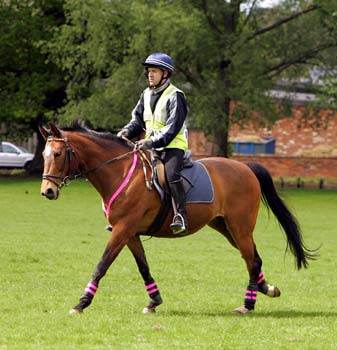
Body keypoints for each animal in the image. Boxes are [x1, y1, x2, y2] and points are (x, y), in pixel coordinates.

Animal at [39, 122, 316, 314]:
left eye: (58, 154)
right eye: (44, 155)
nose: (47, 191)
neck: (119, 172)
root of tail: (245, 167)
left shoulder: (123, 230)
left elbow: (102, 265)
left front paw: (82, 302)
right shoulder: (129, 232)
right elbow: (143, 266)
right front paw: (154, 301)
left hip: (240, 227)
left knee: (252, 260)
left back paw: (248, 304)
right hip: (226, 227)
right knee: (253, 259)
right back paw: (266, 289)